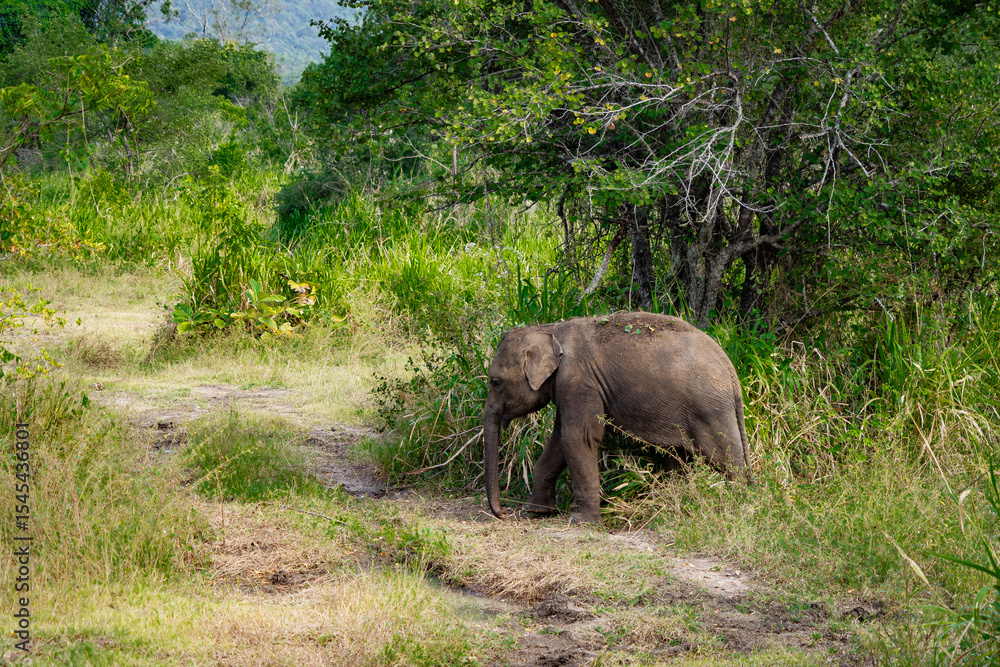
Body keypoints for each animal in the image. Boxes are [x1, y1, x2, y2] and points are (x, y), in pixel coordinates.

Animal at [483, 312, 751, 523]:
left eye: (495, 382)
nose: (503, 513)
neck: (550, 330)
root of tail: (731, 372)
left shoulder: (578, 380)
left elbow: (578, 438)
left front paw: (581, 521)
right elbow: (559, 440)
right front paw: (536, 511)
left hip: (710, 410)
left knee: (725, 459)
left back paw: (739, 503)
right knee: (679, 456)